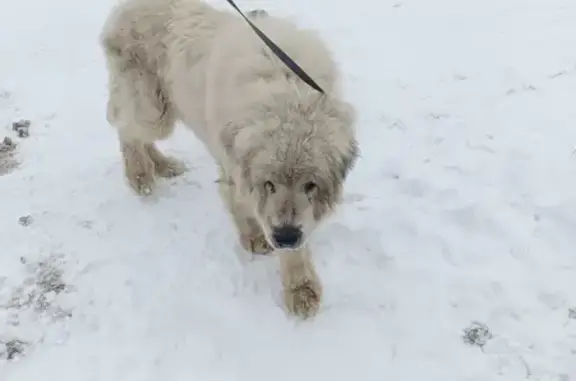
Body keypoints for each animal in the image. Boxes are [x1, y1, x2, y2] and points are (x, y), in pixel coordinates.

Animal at [101, 0, 358, 316]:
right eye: (269, 183)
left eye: (310, 185)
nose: (284, 237)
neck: (287, 97)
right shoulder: (237, 169)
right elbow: (242, 205)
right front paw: (255, 239)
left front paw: (301, 287)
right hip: (151, 107)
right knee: (127, 128)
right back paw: (140, 175)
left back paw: (163, 165)